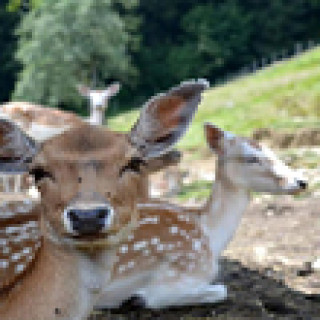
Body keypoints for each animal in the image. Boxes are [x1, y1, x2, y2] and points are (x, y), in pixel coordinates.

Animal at [94, 121, 308, 308]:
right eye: (251, 158)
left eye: (273, 151)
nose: (302, 181)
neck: (210, 236)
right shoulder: (184, 272)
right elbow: (221, 290)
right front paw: (135, 298)